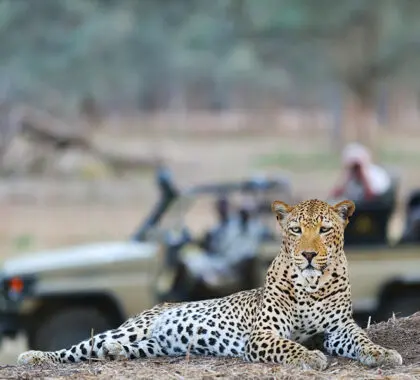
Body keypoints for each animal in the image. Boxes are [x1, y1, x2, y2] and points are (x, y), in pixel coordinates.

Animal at [17, 197, 404, 370]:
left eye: (325, 229)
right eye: (296, 230)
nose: (308, 255)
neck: (312, 286)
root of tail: (156, 305)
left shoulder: (339, 328)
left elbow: (361, 339)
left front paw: (383, 353)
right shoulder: (262, 335)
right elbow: (289, 345)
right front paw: (310, 357)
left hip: (152, 345)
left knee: (112, 349)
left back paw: (114, 354)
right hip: (129, 329)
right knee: (77, 348)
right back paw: (34, 357)